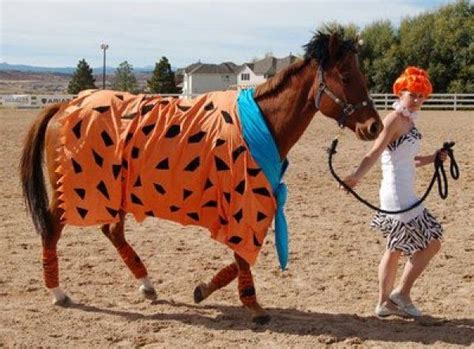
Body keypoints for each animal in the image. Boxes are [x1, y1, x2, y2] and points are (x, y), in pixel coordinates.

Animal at [18, 29, 384, 324]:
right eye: (346, 76)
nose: (375, 127)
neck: (261, 123)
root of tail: (65, 107)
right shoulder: (244, 203)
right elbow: (243, 254)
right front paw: (253, 306)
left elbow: (241, 255)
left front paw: (204, 289)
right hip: (75, 192)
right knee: (52, 231)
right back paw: (59, 292)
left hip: (114, 191)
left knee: (113, 232)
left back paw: (147, 285)